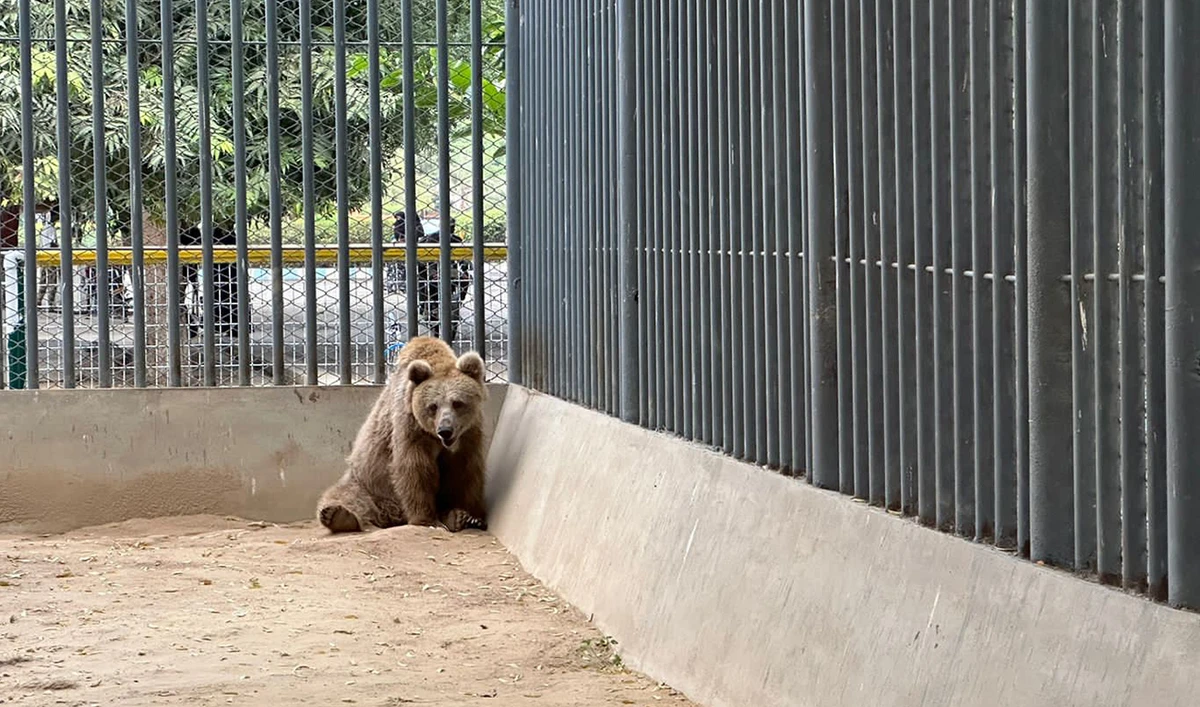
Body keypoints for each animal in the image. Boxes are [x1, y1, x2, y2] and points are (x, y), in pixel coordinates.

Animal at [316, 336, 489, 534]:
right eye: (433, 406)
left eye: (458, 403)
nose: (445, 430)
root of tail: (392, 514)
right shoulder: (410, 427)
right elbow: (415, 467)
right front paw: (427, 519)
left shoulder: (469, 434)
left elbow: (465, 471)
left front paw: (469, 515)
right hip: (368, 483)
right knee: (348, 496)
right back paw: (338, 516)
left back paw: (456, 518)